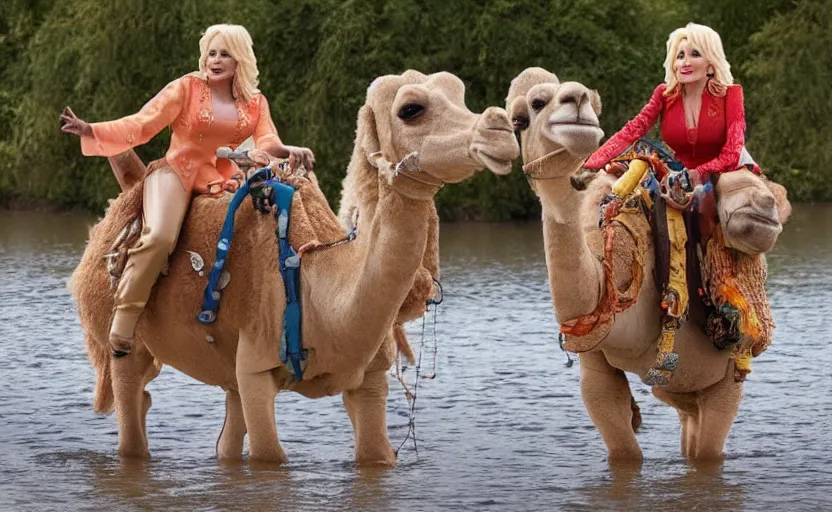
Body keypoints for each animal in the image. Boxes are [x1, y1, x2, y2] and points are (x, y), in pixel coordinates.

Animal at [70, 70, 519, 465]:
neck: (319, 282)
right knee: (131, 412)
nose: (500, 127)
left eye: (458, 90)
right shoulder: (257, 368)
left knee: (225, 439)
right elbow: (270, 457)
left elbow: (377, 456)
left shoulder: (370, 380)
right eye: (411, 109)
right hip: (123, 340)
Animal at [506, 67, 791, 462]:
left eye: (589, 100)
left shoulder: (727, 378)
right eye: (521, 117)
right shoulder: (596, 363)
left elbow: (706, 456)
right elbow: (624, 449)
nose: (576, 98)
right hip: (676, 388)